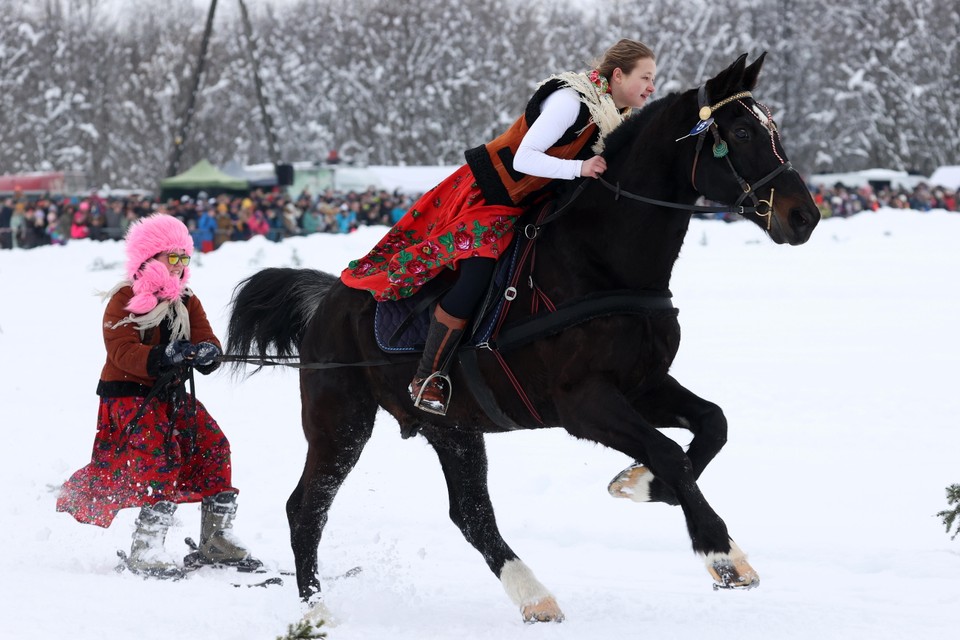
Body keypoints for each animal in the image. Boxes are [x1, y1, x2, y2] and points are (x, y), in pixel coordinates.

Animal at [225, 52, 816, 624]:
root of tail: (327, 299)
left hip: (454, 429)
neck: (599, 261)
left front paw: (639, 483)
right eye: (742, 133)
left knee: (470, 514)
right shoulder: (584, 402)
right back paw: (316, 608)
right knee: (307, 508)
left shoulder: (643, 384)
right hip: (341, 421)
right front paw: (722, 553)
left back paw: (534, 596)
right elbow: (670, 452)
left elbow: (711, 426)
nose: (804, 216)